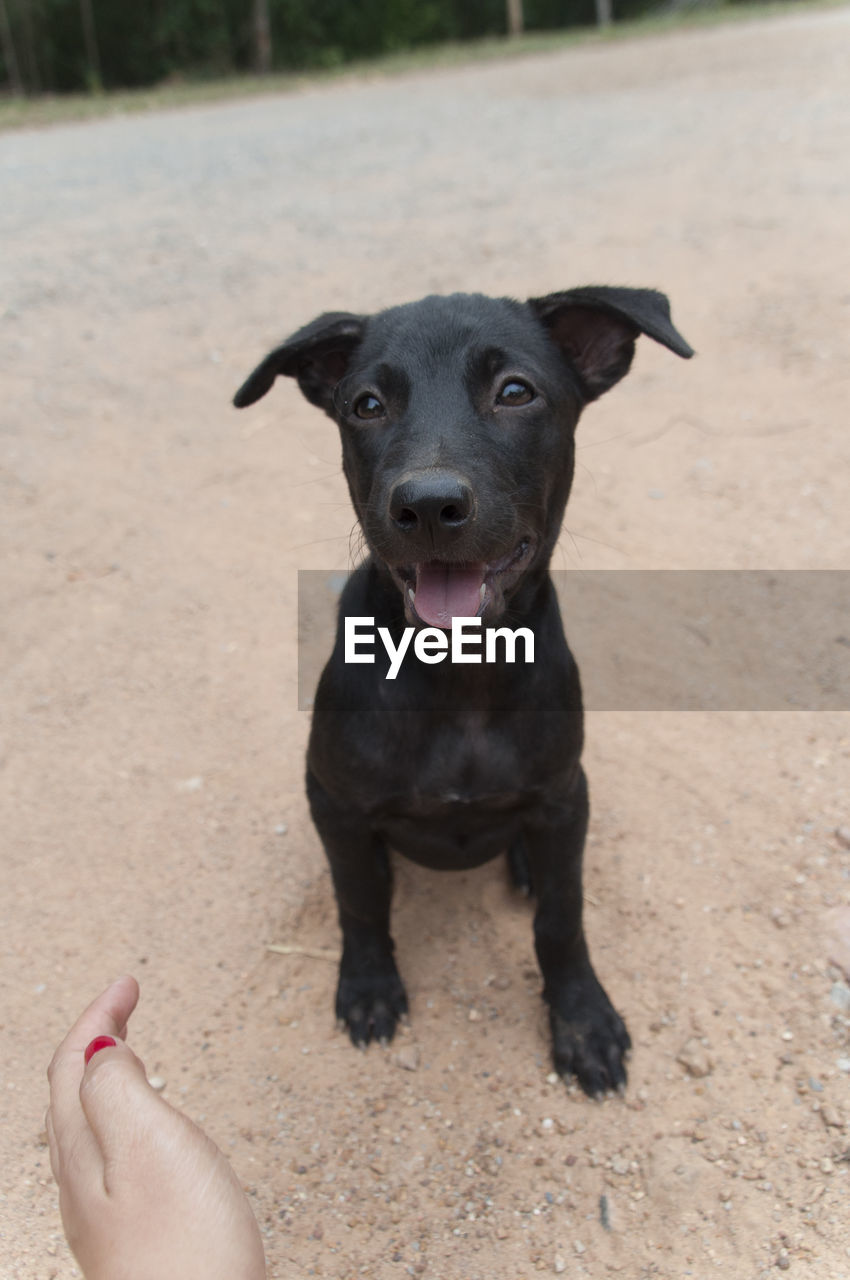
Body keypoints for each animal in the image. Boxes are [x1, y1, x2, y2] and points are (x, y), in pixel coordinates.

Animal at [234, 288, 691, 1090]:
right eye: (367, 404)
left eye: (515, 392)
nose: (428, 505)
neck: (460, 677)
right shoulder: (337, 804)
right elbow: (359, 900)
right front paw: (368, 985)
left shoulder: (562, 794)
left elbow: (563, 917)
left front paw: (583, 1019)